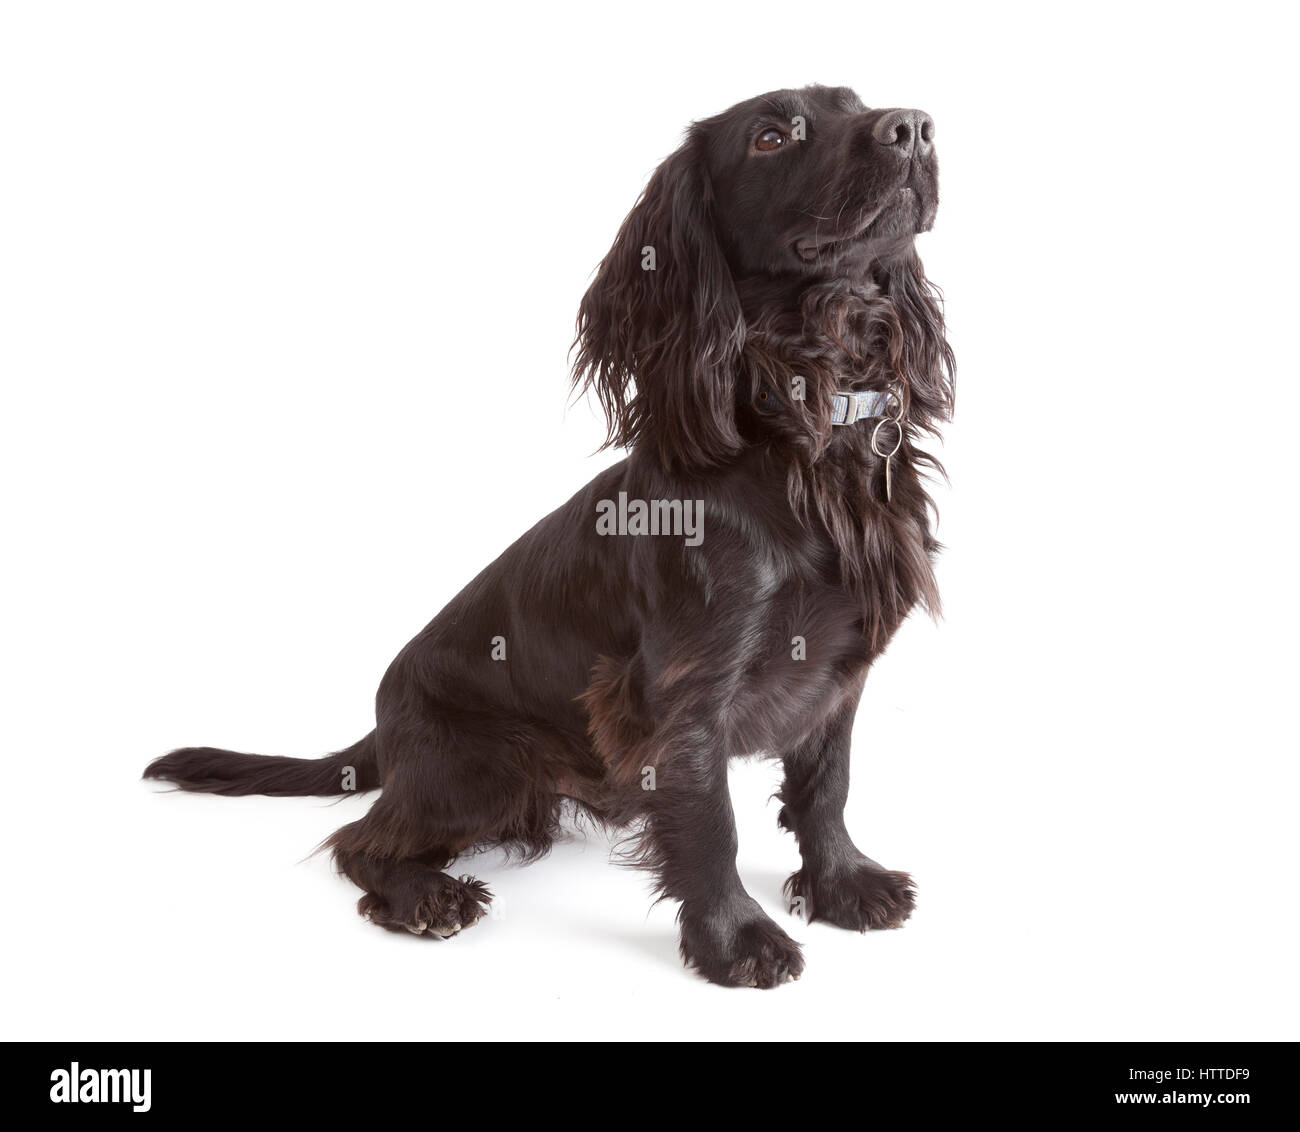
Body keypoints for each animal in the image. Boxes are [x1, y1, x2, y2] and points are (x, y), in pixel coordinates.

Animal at [147, 83, 956, 987]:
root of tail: (383, 720)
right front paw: (735, 937)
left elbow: (827, 786)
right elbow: (710, 820)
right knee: (359, 840)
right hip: (485, 765)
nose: (914, 127)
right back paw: (425, 897)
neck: (807, 419)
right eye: (773, 137)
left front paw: (843, 884)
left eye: (857, 102)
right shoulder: (683, 686)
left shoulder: (838, 669)